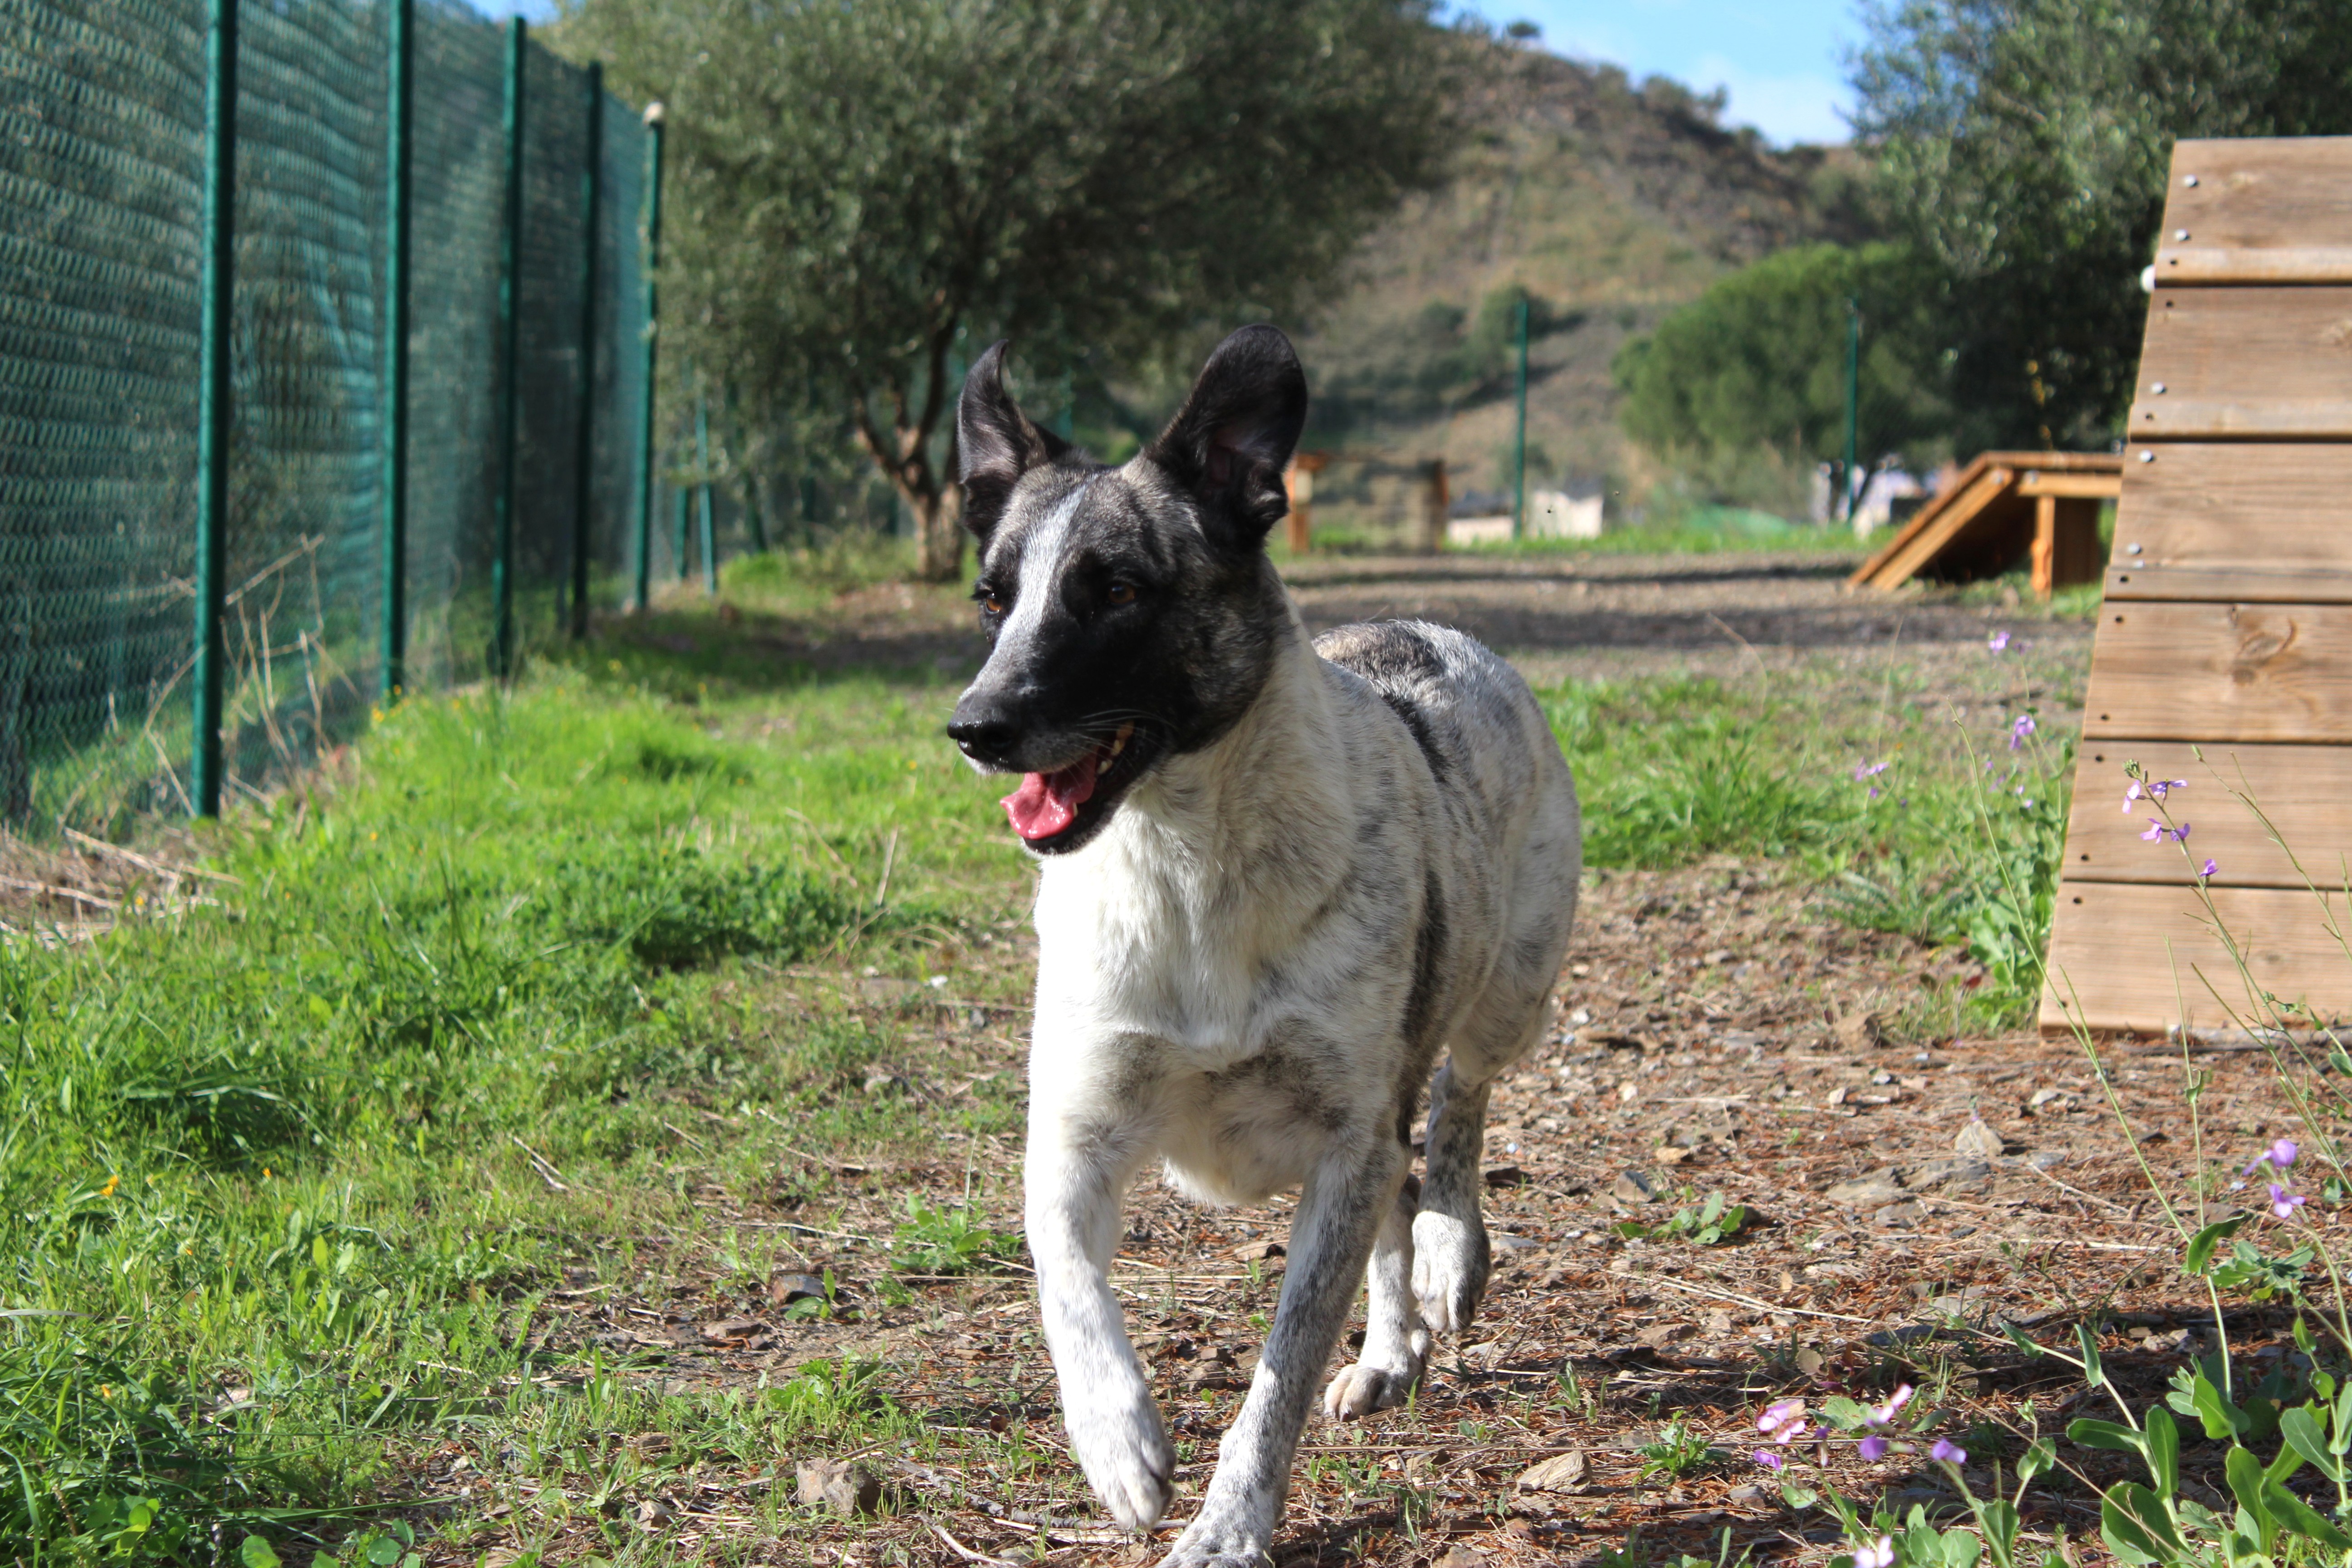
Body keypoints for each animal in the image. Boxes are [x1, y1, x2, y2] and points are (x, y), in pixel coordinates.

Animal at [941, 324, 1580, 1561]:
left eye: (1118, 589)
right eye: (992, 599)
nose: (976, 726)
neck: (1188, 862)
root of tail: (1436, 629)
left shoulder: (1339, 1139)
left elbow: (1278, 1372)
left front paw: (1229, 1526)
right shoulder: (1077, 1128)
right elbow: (1064, 1278)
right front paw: (1119, 1443)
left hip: (1509, 989)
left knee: (1457, 1114)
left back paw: (1450, 1256)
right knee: (1400, 1186)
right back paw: (1387, 1351)